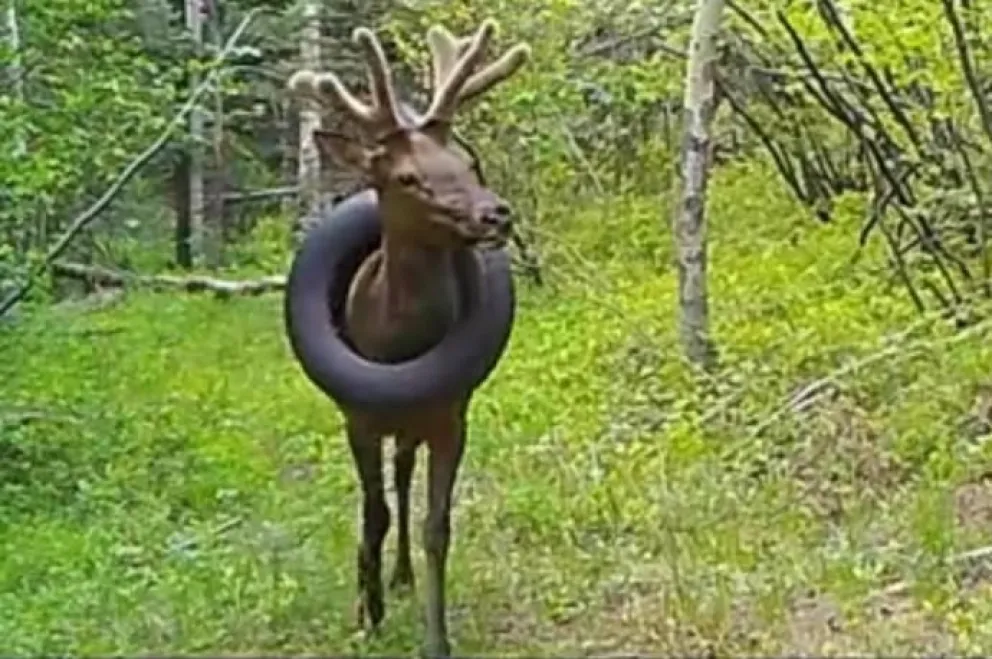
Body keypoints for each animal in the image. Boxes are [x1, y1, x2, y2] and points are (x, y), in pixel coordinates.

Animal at [285, 19, 530, 657]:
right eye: (406, 177)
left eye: (466, 162)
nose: (496, 214)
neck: (400, 342)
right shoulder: (358, 417)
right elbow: (373, 514)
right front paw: (366, 615)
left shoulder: (451, 415)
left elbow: (434, 525)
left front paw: (435, 637)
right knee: (383, 494)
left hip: (415, 423)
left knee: (403, 476)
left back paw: (401, 576)